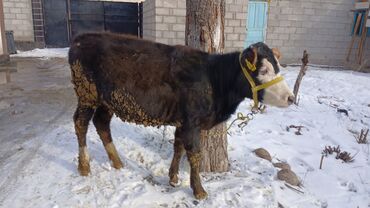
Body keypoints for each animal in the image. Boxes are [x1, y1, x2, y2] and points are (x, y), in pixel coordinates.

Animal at [68, 32, 294, 200]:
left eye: (278, 67)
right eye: (263, 70)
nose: (291, 98)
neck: (214, 78)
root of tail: (81, 37)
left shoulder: (182, 121)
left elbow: (178, 147)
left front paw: (174, 178)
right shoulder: (192, 122)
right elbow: (194, 154)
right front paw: (199, 191)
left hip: (108, 100)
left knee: (101, 123)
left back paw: (117, 162)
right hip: (87, 93)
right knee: (81, 123)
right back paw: (84, 166)